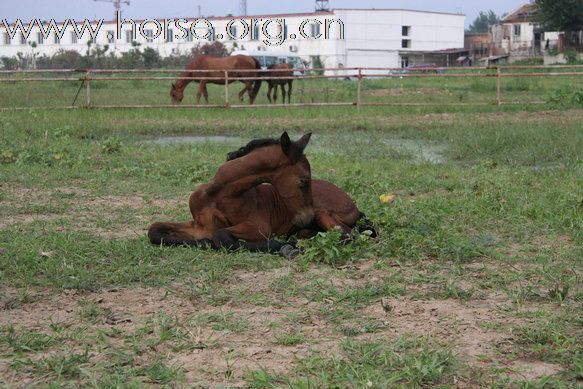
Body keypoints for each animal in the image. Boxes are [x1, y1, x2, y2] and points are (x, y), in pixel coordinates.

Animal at [149, 133, 314, 255]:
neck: (218, 195)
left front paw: (288, 245)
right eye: (304, 180)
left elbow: (221, 235)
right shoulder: (199, 226)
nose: (309, 217)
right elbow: (154, 229)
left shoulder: (259, 226)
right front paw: (205, 242)